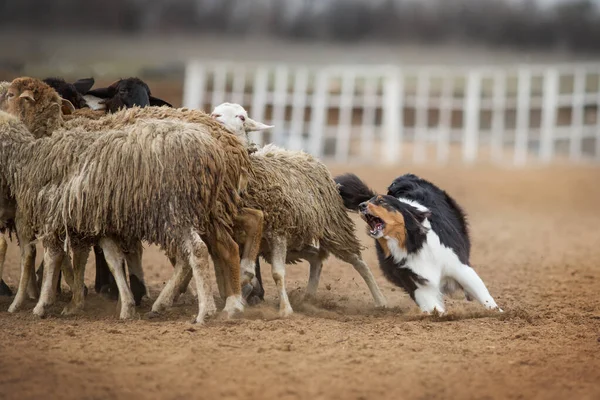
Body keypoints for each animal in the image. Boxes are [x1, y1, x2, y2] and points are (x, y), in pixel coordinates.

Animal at [336, 173, 500, 314]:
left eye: (382, 201)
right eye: (370, 201)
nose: (362, 205)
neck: (413, 244)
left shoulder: (457, 266)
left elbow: (482, 292)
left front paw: (497, 313)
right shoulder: (415, 279)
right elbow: (431, 304)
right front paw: (439, 315)